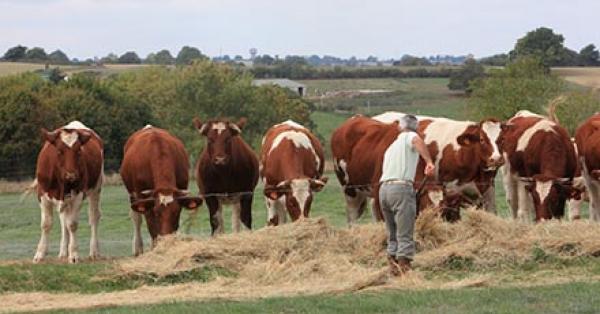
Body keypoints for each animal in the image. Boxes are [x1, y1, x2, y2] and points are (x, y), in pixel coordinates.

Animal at [31, 121, 103, 264]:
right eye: (59, 151)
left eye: (79, 150)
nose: (71, 175)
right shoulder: (42, 195)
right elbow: (46, 224)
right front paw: (40, 254)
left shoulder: (78, 196)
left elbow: (72, 224)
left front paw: (74, 254)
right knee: (64, 222)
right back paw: (63, 253)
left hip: (96, 190)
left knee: (93, 217)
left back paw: (94, 252)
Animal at [119, 125, 202, 255]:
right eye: (157, 212)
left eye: (176, 212)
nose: (166, 239)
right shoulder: (144, 200)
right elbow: (151, 226)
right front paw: (155, 248)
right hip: (132, 195)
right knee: (137, 219)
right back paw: (138, 248)